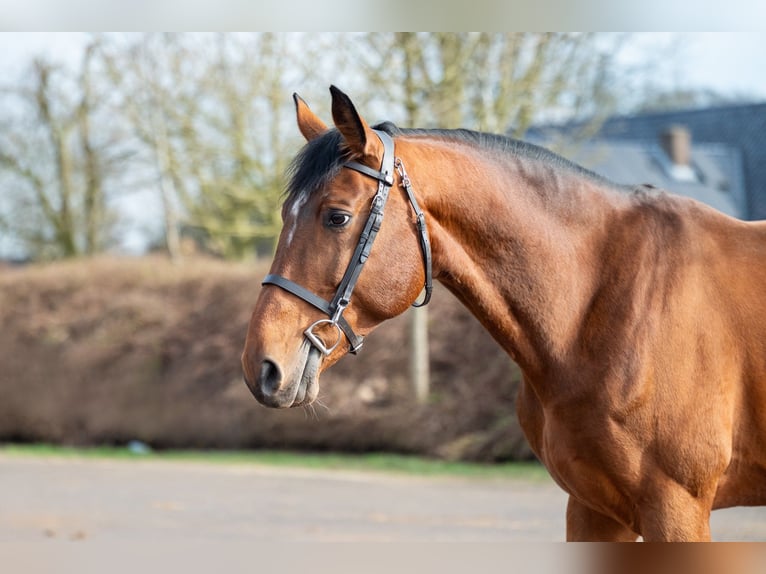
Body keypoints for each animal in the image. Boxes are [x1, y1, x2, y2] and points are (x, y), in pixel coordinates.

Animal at [242, 85, 766, 540]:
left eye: (337, 217)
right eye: (286, 214)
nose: (261, 366)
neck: (605, 303)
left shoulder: (675, 508)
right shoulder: (594, 508)